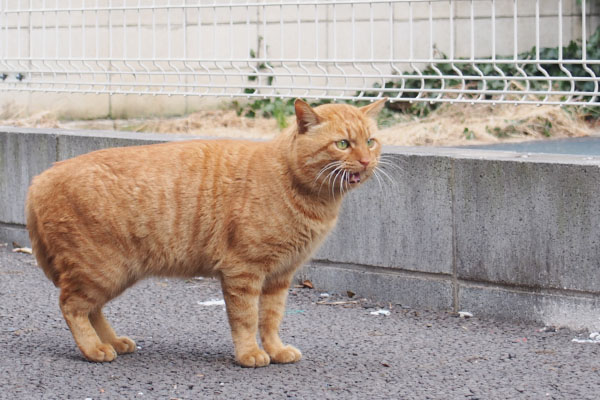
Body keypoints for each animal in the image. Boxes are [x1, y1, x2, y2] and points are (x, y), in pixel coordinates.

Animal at [25, 98, 386, 368]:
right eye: (343, 144)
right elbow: (246, 318)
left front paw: (275, 349)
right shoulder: (244, 271)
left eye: (370, 142)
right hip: (101, 269)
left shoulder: (280, 277)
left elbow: (271, 319)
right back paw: (94, 349)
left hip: (115, 274)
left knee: (92, 309)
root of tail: (40, 177)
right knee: (71, 306)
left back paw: (112, 341)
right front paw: (250, 354)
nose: (365, 161)